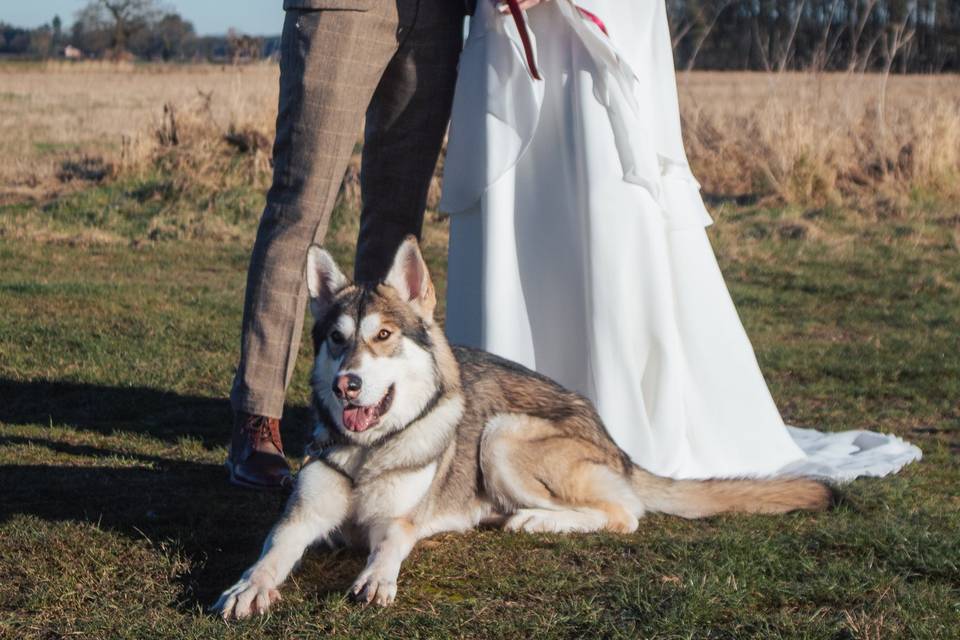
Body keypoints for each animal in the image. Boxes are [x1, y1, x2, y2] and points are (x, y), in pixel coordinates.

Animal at [214, 238, 828, 616]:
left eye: (383, 336)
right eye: (337, 339)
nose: (347, 385)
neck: (370, 450)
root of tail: (616, 444)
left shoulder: (398, 522)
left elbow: (388, 548)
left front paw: (376, 578)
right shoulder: (300, 519)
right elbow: (270, 554)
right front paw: (248, 587)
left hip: (502, 435)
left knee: (624, 514)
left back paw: (533, 520)